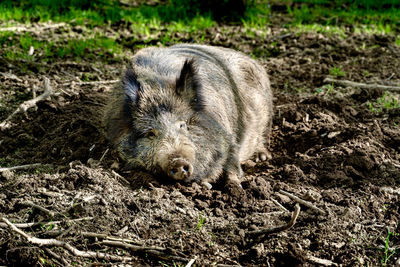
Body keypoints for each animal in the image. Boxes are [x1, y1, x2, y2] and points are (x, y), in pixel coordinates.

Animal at [104, 44, 272, 189]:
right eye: (150, 133)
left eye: (182, 125)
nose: (178, 161)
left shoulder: (229, 139)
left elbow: (232, 166)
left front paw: (236, 188)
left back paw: (262, 158)